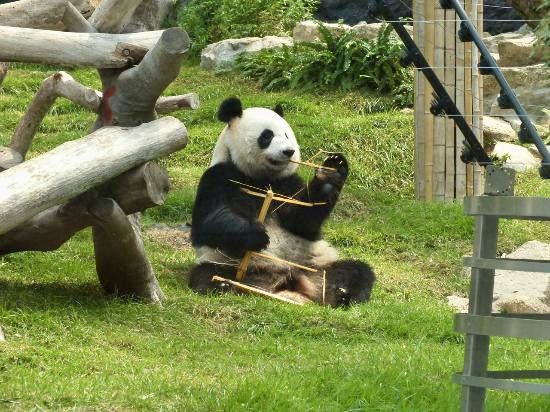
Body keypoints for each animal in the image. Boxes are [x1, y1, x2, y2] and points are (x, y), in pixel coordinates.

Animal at [189, 98, 376, 308]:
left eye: (287, 134)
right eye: (267, 136)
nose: (289, 151)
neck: (263, 179)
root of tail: (288, 282)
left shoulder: (288, 184)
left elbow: (303, 220)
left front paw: (331, 172)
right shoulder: (221, 177)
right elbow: (208, 223)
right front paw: (257, 235)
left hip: (315, 266)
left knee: (356, 271)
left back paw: (343, 293)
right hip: (233, 265)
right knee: (205, 275)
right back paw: (226, 285)